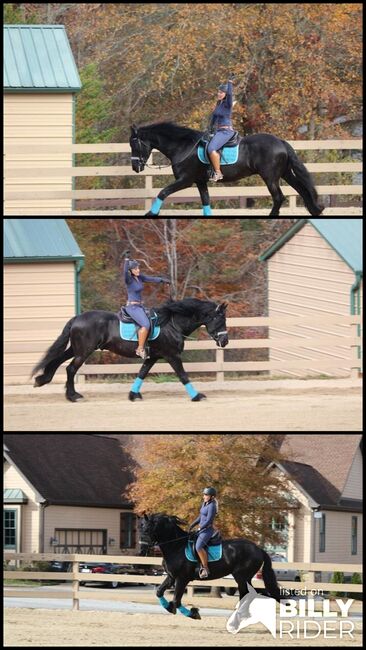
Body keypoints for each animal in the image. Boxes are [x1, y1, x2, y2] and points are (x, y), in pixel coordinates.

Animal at [33, 298, 229, 400]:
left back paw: (43, 380)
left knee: (58, 361)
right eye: (220, 320)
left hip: (76, 349)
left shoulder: (153, 357)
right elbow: (183, 375)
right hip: (83, 351)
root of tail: (77, 317)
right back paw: (73, 395)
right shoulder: (172, 356)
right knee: (71, 368)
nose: (225, 341)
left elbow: (142, 373)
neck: (171, 323)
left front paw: (133, 394)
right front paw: (197, 396)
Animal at [129, 123, 324, 219]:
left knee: (279, 197)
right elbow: (206, 203)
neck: (183, 146)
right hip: (285, 173)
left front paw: (151, 213)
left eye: (134, 144)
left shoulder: (186, 180)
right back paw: (315, 210)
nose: (135, 167)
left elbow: (163, 192)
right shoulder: (200, 182)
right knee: (301, 189)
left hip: (270, 177)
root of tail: (280, 142)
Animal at [139, 512, 280, 616]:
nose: (141, 551)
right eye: (141, 528)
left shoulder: (182, 579)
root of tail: (258, 549)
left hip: (241, 577)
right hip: (246, 578)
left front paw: (193, 614)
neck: (176, 546)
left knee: (246, 595)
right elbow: (159, 592)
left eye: (147, 530)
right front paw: (170, 608)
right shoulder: (171, 577)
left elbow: (176, 600)